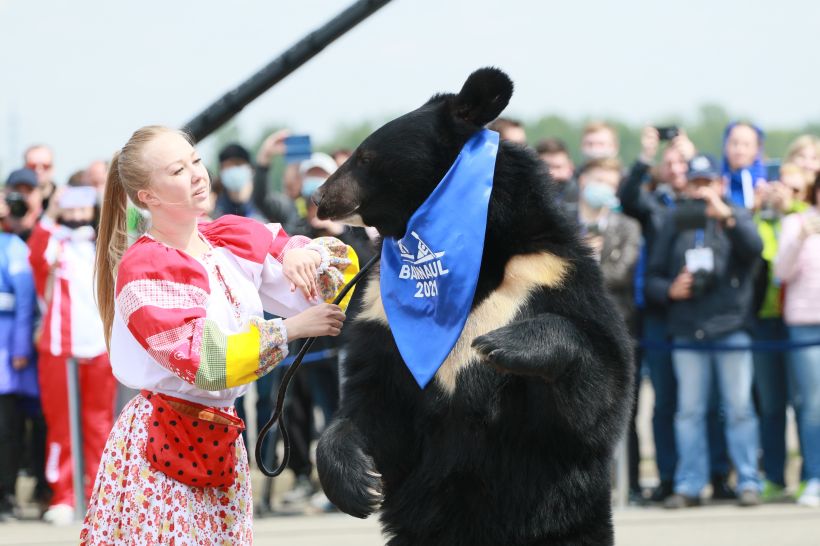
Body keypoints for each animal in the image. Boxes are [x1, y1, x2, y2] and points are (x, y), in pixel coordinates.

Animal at [314, 68, 636, 544]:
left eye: (365, 157)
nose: (319, 197)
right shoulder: (381, 314)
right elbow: (375, 402)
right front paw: (358, 484)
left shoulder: (552, 273)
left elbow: (603, 384)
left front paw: (503, 344)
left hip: (566, 516)